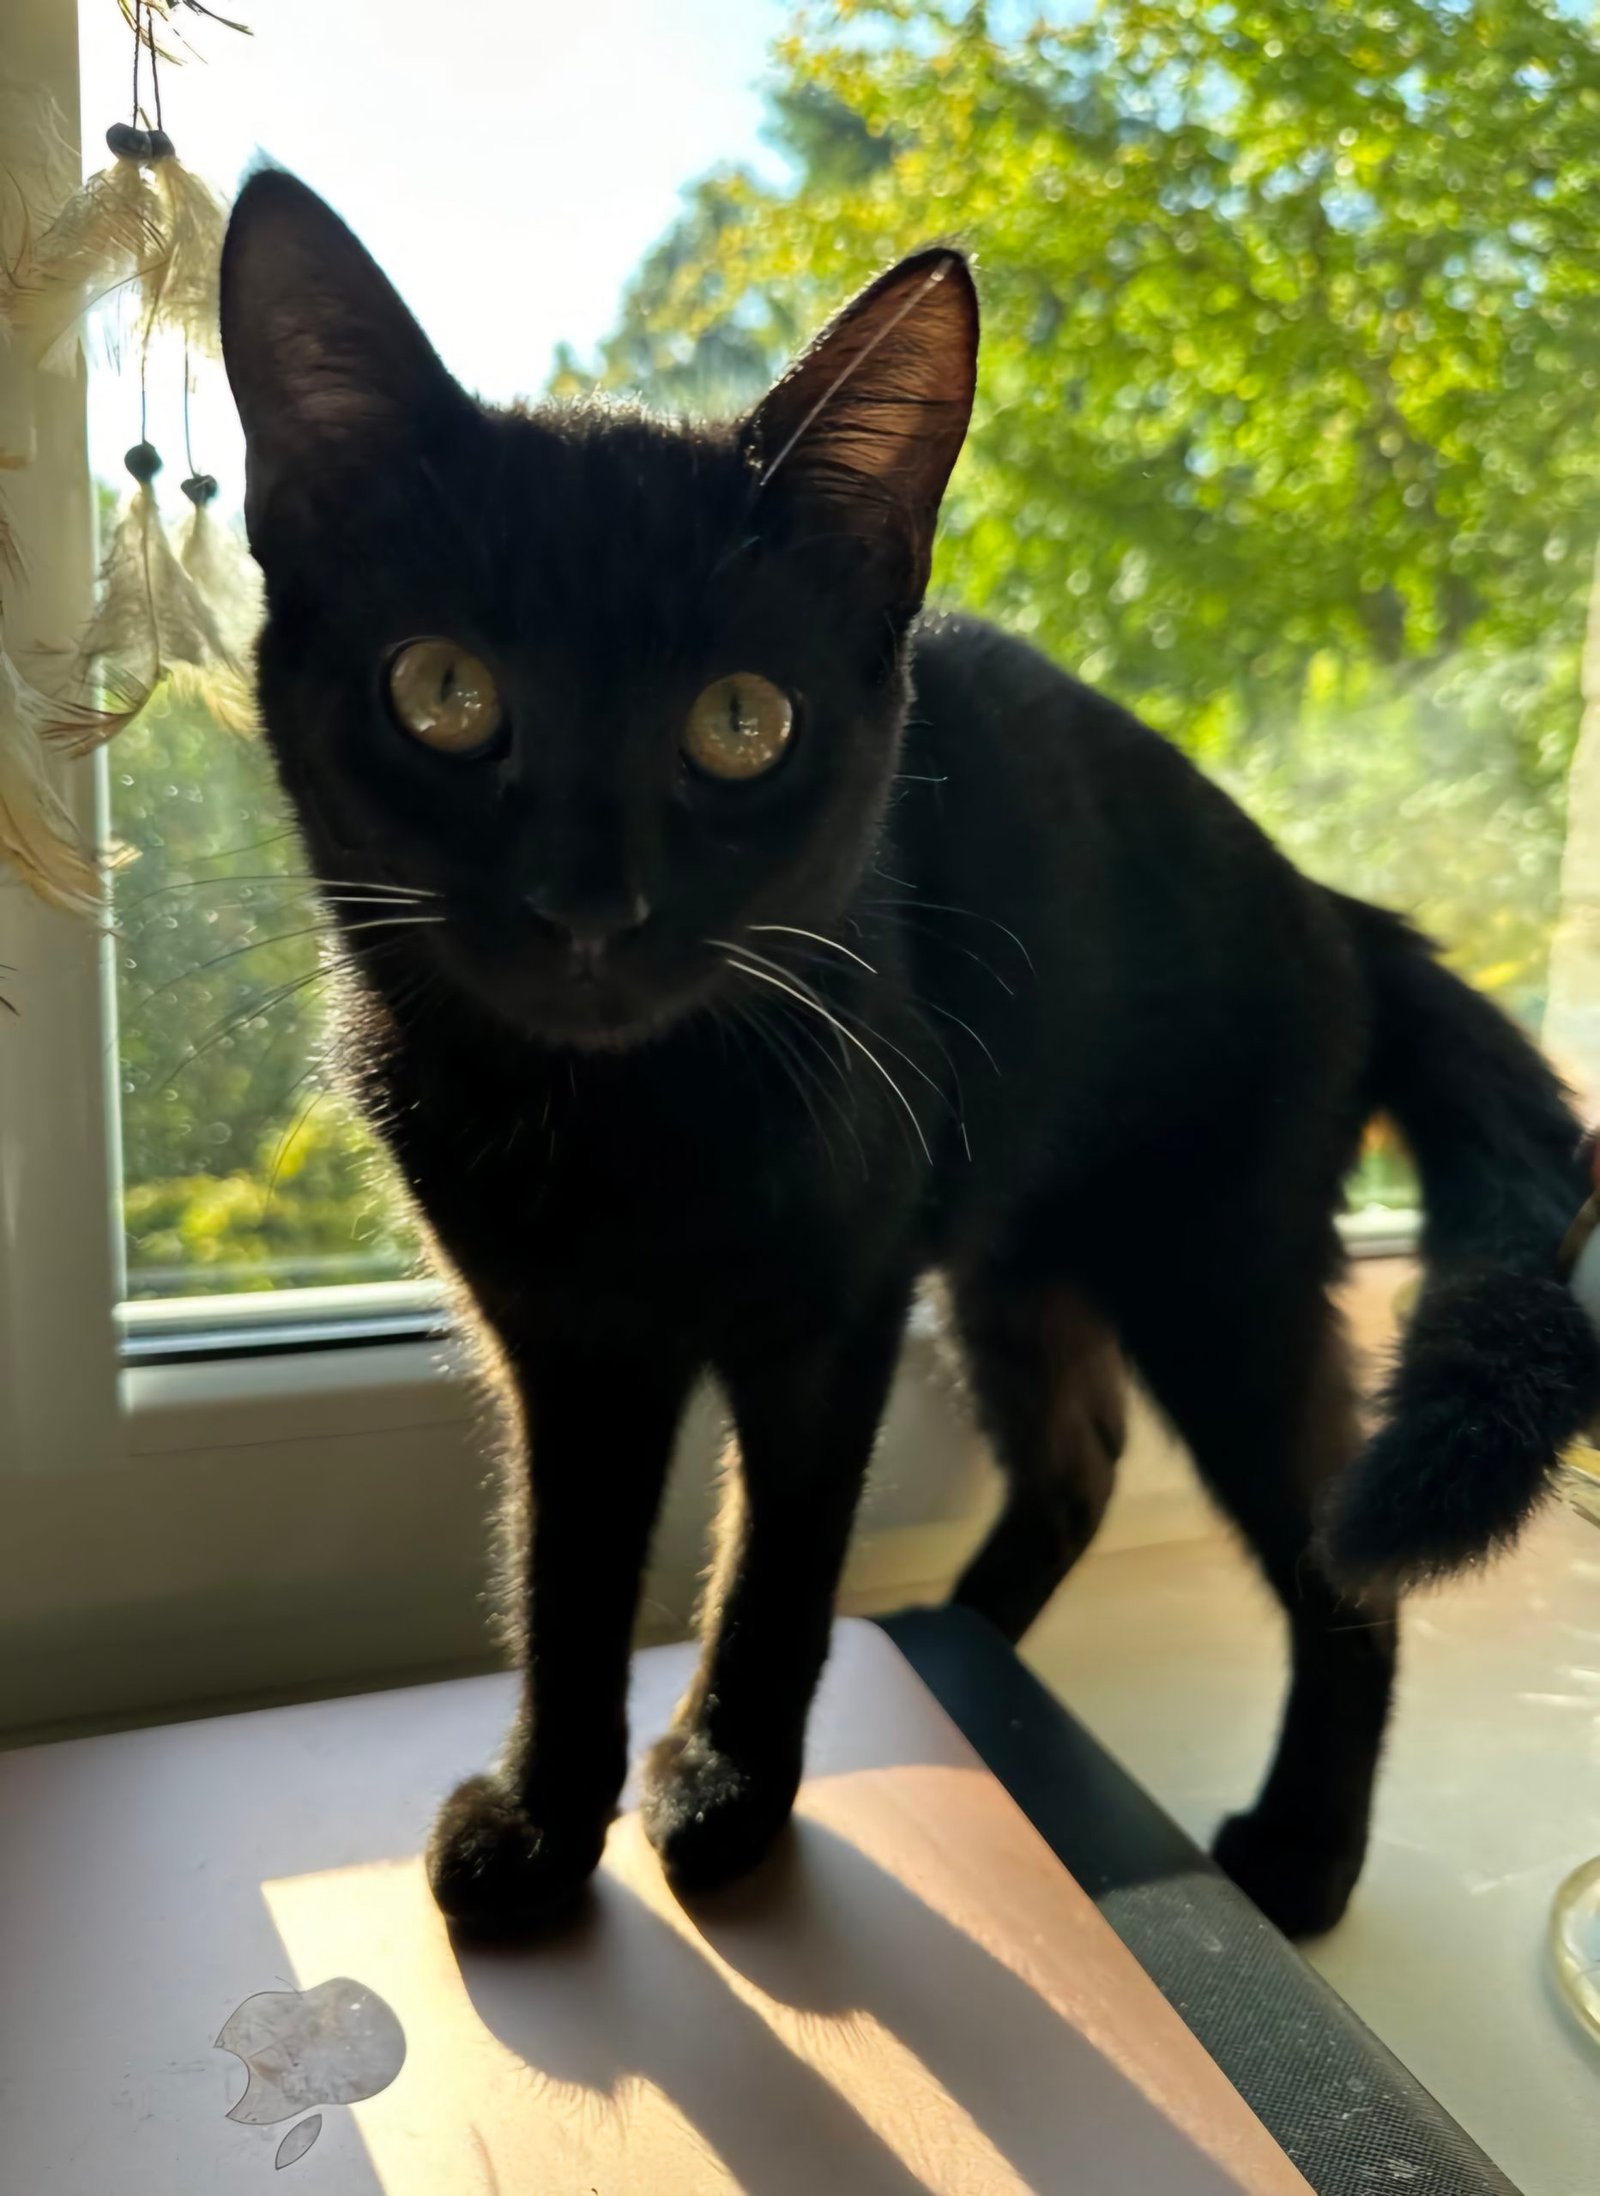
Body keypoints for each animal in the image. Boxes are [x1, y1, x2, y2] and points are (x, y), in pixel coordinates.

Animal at [219, 169, 1600, 1943]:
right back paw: (972, 1654)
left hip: (1215, 1265)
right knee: (1078, 1462)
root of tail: (1334, 905)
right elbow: (563, 1581)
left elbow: (778, 1565)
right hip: (1016, 1260)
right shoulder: (563, 1346)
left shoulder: (835, 1310)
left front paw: (725, 1791)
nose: (591, 906)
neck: (617, 1121)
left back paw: (1301, 1851)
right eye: (442, 692)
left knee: (1331, 1555)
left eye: (743, 723)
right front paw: (542, 1825)